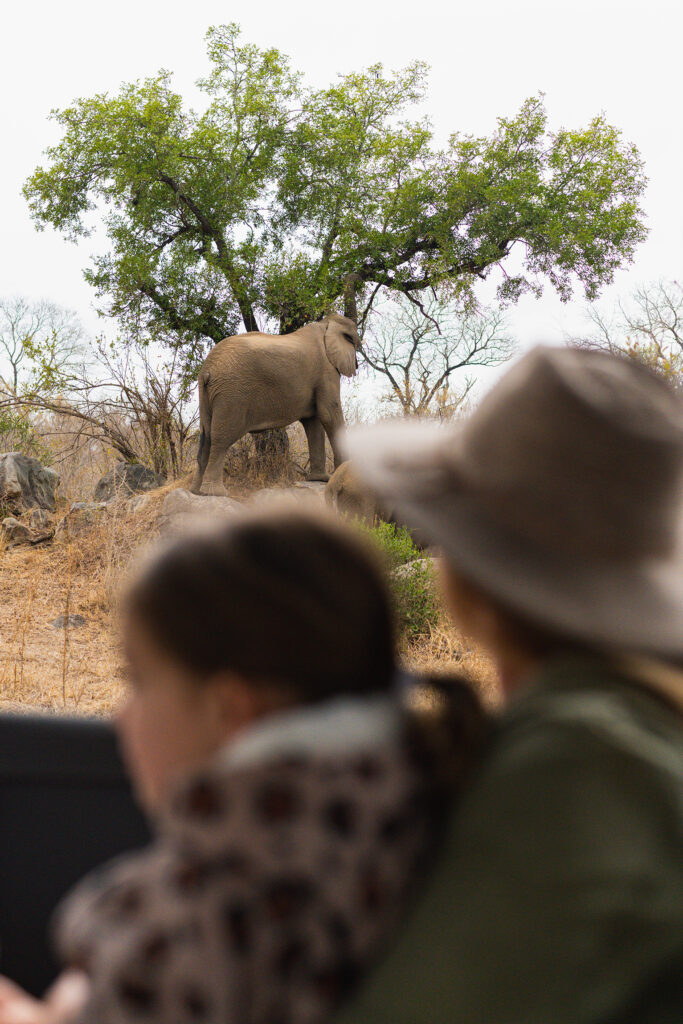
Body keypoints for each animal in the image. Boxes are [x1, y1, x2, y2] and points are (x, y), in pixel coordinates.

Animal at [190, 315, 361, 496]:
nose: (357, 365)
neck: (326, 324)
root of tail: (207, 369)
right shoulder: (326, 370)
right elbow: (329, 415)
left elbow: (313, 422)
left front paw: (320, 479)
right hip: (231, 392)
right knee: (221, 438)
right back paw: (215, 493)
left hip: (208, 392)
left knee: (206, 435)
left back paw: (196, 491)